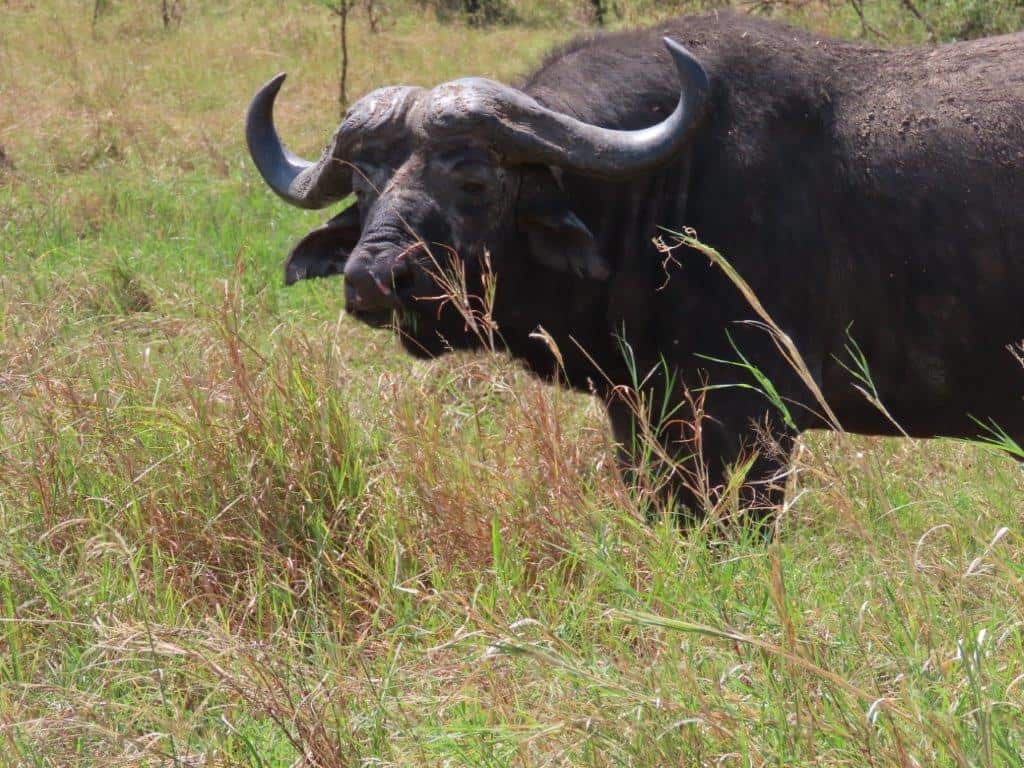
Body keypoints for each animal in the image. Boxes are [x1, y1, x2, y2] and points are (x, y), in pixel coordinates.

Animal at [246, 13, 1023, 523]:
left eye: (474, 180)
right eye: (364, 184)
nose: (372, 279)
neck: (656, 197)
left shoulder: (749, 425)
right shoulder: (641, 419)